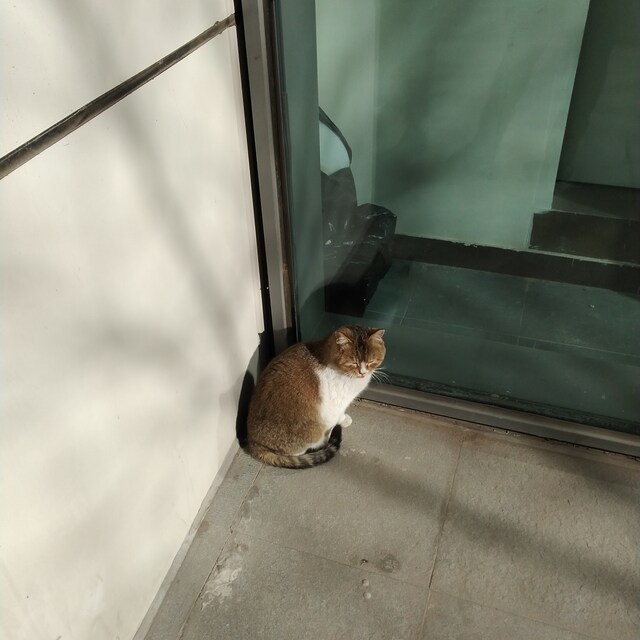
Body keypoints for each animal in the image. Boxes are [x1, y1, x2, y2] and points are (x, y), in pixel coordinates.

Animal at [245, 325, 386, 469]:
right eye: (353, 363)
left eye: (371, 361)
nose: (363, 373)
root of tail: (253, 442)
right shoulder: (335, 405)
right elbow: (334, 421)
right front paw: (338, 426)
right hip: (310, 432)